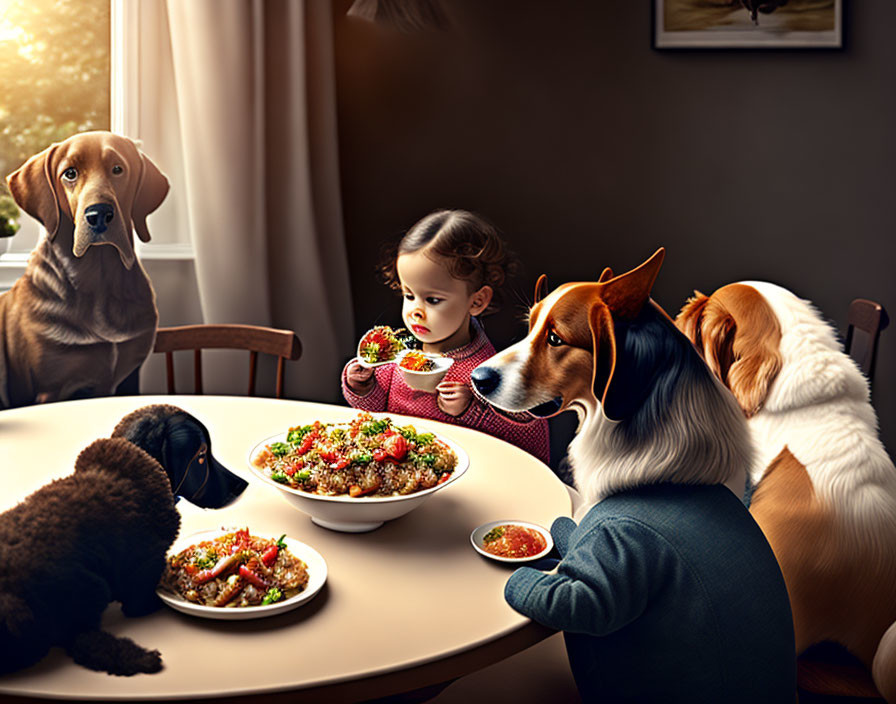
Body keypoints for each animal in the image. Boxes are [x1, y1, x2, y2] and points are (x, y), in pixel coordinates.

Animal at [0, 131, 168, 408]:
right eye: (70, 173)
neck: (99, 282)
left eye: (118, 169)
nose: (99, 214)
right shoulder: (50, 389)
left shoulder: (131, 376)